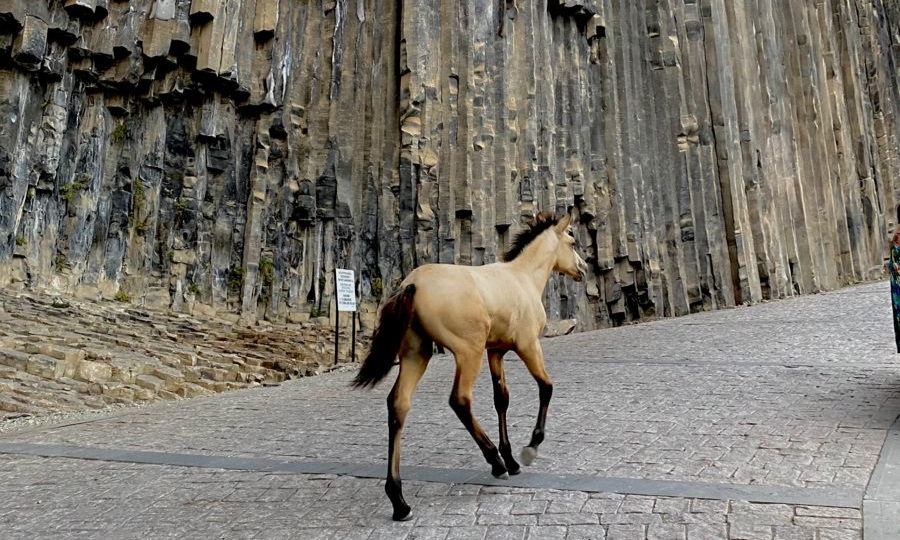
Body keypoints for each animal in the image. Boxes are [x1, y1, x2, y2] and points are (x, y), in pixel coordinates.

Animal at [352, 209, 588, 521]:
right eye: (572, 241)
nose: (583, 268)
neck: (521, 278)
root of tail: (413, 283)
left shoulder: (496, 352)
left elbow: (501, 399)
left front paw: (512, 459)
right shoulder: (527, 346)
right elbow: (546, 387)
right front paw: (528, 449)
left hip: (417, 354)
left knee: (398, 404)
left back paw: (399, 501)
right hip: (468, 353)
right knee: (460, 400)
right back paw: (495, 462)